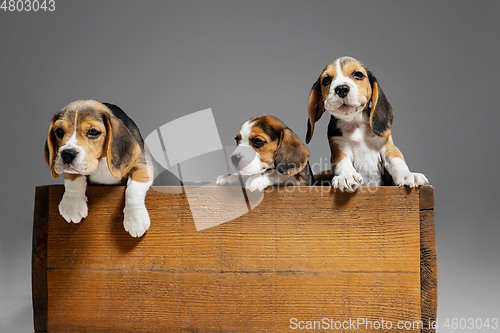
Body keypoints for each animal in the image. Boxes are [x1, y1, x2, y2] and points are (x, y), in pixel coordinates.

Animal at [45, 98, 153, 236]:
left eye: (93, 132)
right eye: (59, 131)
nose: (67, 154)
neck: (101, 161)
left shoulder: (143, 165)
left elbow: (134, 188)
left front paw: (136, 220)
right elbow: (73, 178)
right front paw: (72, 204)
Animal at [306, 56, 428, 192]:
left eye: (358, 74)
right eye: (326, 80)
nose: (341, 89)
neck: (355, 123)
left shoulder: (387, 147)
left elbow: (397, 160)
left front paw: (408, 175)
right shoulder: (339, 148)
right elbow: (342, 162)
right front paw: (347, 176)